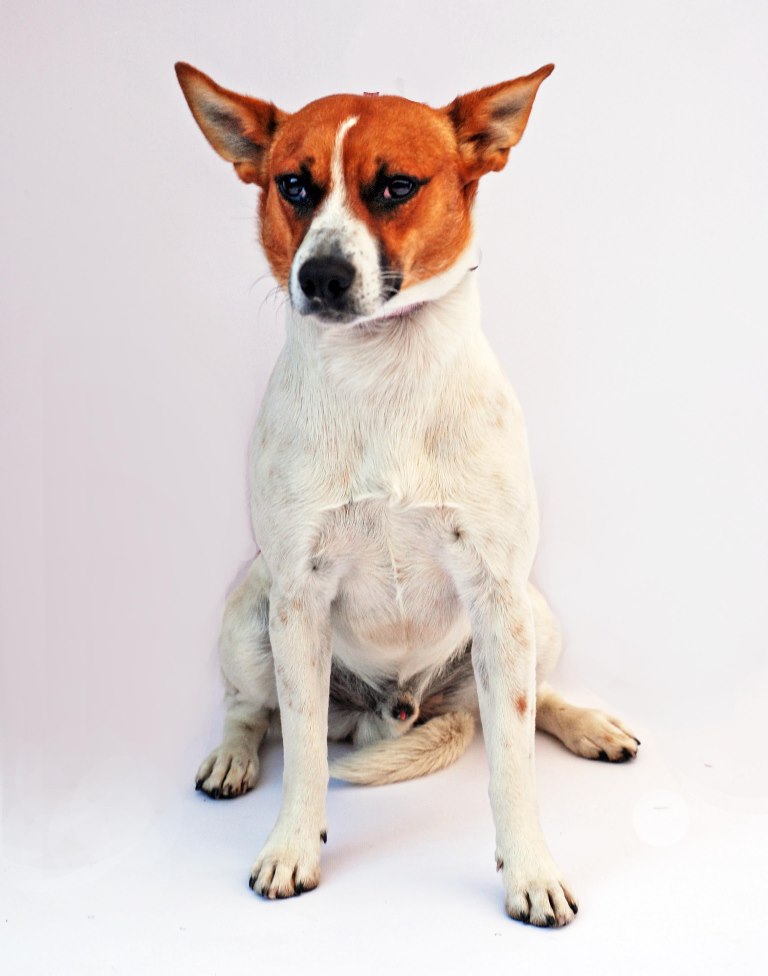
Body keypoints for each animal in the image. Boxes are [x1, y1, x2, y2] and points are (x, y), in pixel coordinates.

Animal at [175, 61, 639, 927]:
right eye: (294, 184)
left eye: (395, 186)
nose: (321, 276)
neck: (380, 373)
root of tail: (399, 708)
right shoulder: (297, 597)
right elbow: (303, 754)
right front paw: (292, 846)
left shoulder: (496, 592)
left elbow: (513, 762)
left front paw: (530, 870)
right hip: (250, 613)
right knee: (250, 708)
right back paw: (230, 757)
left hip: (533, 617)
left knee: (534, 699)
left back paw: (590, 725)